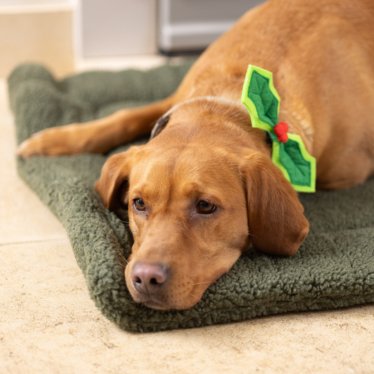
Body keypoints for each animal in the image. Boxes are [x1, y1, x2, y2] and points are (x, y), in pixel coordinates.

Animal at [17, 0, 374, 310]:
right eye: (138, 203)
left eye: (205, 206)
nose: (146, 278)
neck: (232, 100)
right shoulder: (173, 100)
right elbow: (125, 115)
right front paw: (53, 139)